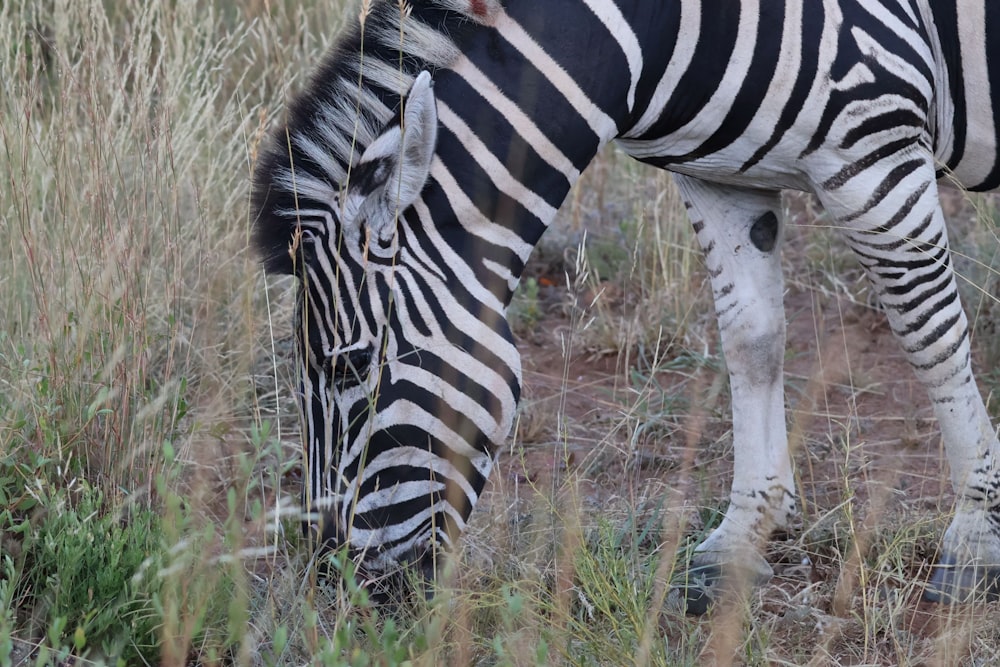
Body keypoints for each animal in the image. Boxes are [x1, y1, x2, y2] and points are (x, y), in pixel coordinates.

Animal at [254, 0, 1000, 612]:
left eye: (351, 368)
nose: (333, 584)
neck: (658, 32)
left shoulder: (874, 151)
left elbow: (929, 334)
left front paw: (973, 538)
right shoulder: (721, 177)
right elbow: (752, 341)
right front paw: (741, 537)